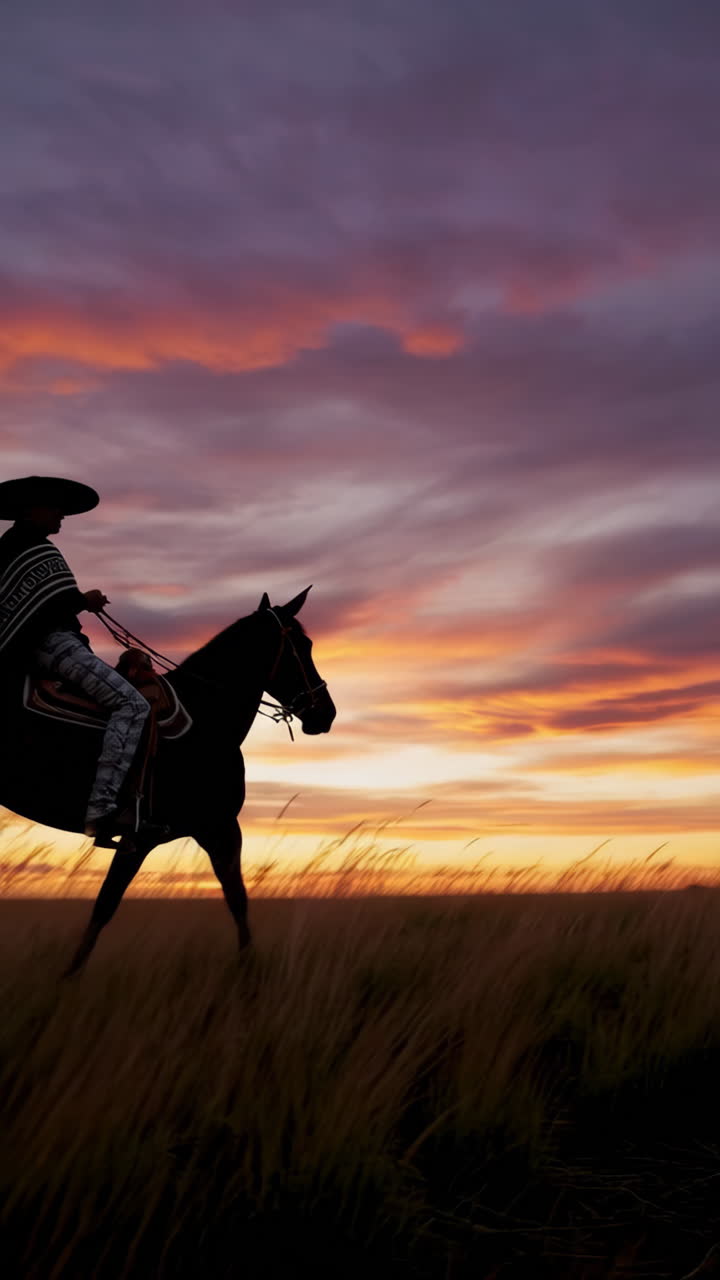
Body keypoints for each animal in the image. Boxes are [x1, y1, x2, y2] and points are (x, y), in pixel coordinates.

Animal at [0, 587, 336, 972]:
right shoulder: (195, 830)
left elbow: (234, 896)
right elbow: (107, 905)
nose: (326, 712)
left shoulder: (205, 831)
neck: (206, 714)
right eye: (304, 644)